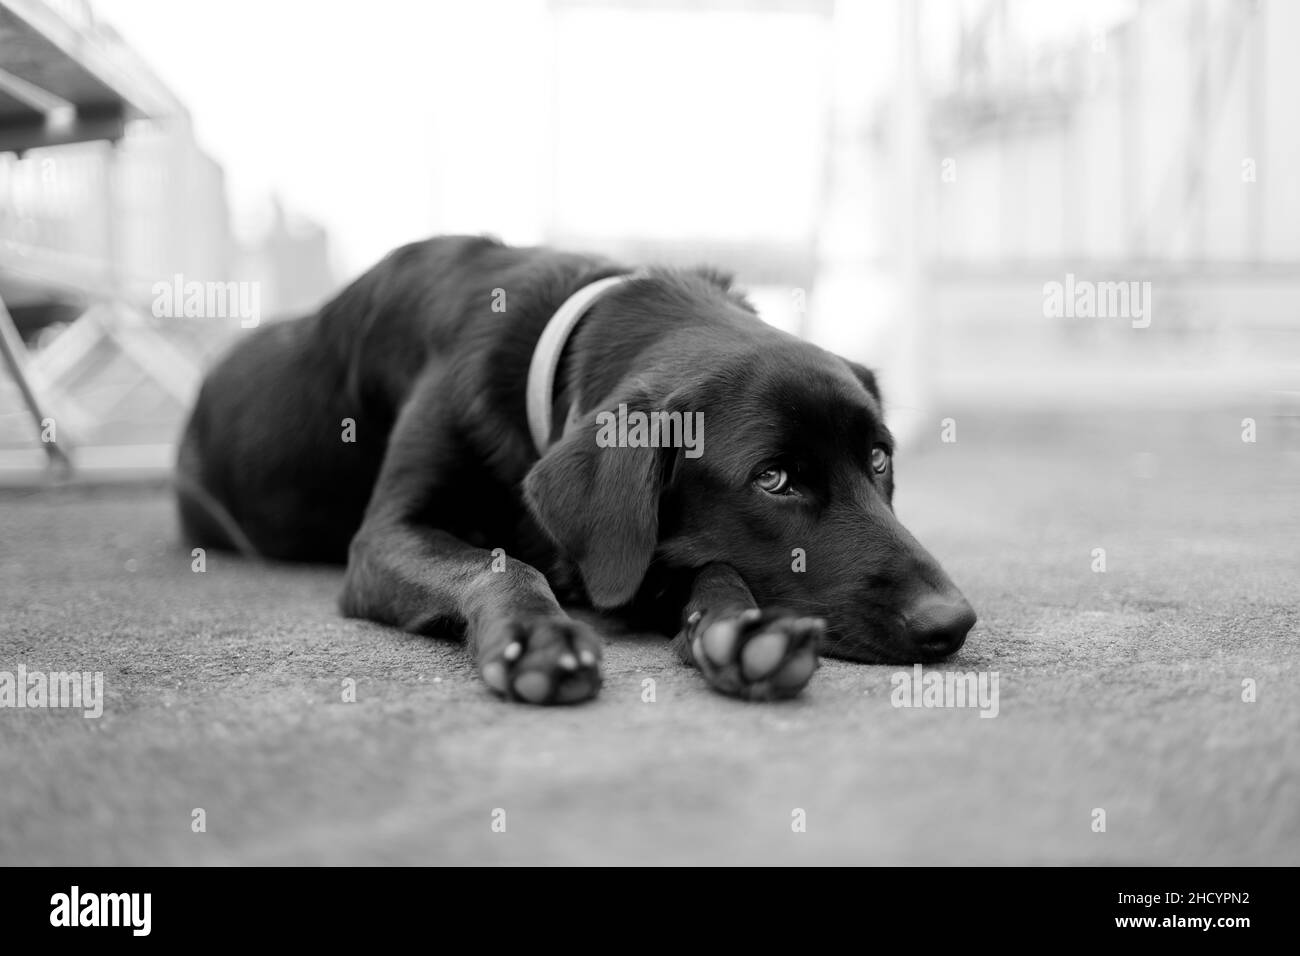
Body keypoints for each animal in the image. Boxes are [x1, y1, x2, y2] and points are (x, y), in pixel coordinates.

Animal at [180, 236, 977, 707]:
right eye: (775, 479)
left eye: (879, 458)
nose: (954, 622)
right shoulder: (386, 536)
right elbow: (500, 564)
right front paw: (538, 639)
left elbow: (715, 567)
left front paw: (739, 627)